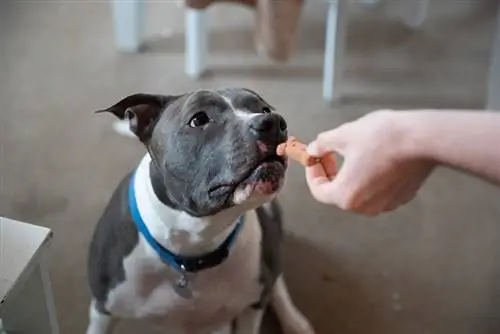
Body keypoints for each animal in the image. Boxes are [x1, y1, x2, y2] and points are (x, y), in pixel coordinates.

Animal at [85, 88, 312, 334]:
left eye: (264, 109)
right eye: (199, 119)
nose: (273, 122)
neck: (195, 241)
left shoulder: (251, 306)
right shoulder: (102, 311)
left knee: (277, 284)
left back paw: (295, 322)